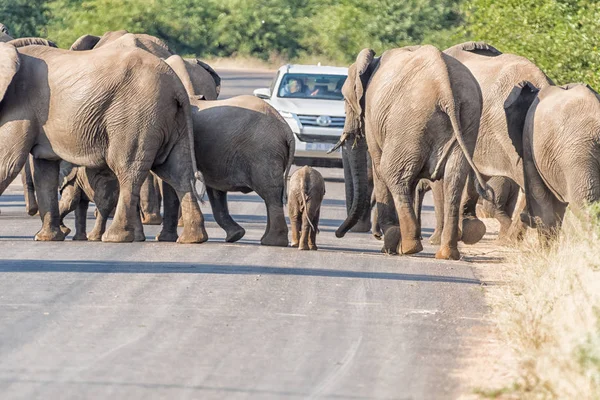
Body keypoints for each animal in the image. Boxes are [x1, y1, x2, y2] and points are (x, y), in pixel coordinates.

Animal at [0, 41, 206, 241]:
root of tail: (177, 87)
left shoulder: (20, 107)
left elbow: (8, 163)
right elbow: (44, 170)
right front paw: (46, 238)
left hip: (136, 116)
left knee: (127, 169)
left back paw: (115, 237)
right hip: (171, 120)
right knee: (176, 172)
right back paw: (191, 238)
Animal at [336, 46, 490, 260]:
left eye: (345, 99)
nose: (338, 234)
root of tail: (445, 88)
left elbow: (379, 168)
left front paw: (389, 246)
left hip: (408, 119)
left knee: (392, 173)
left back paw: (407, 247)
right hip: (467, 117)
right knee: (454, 178)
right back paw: (446, 253)